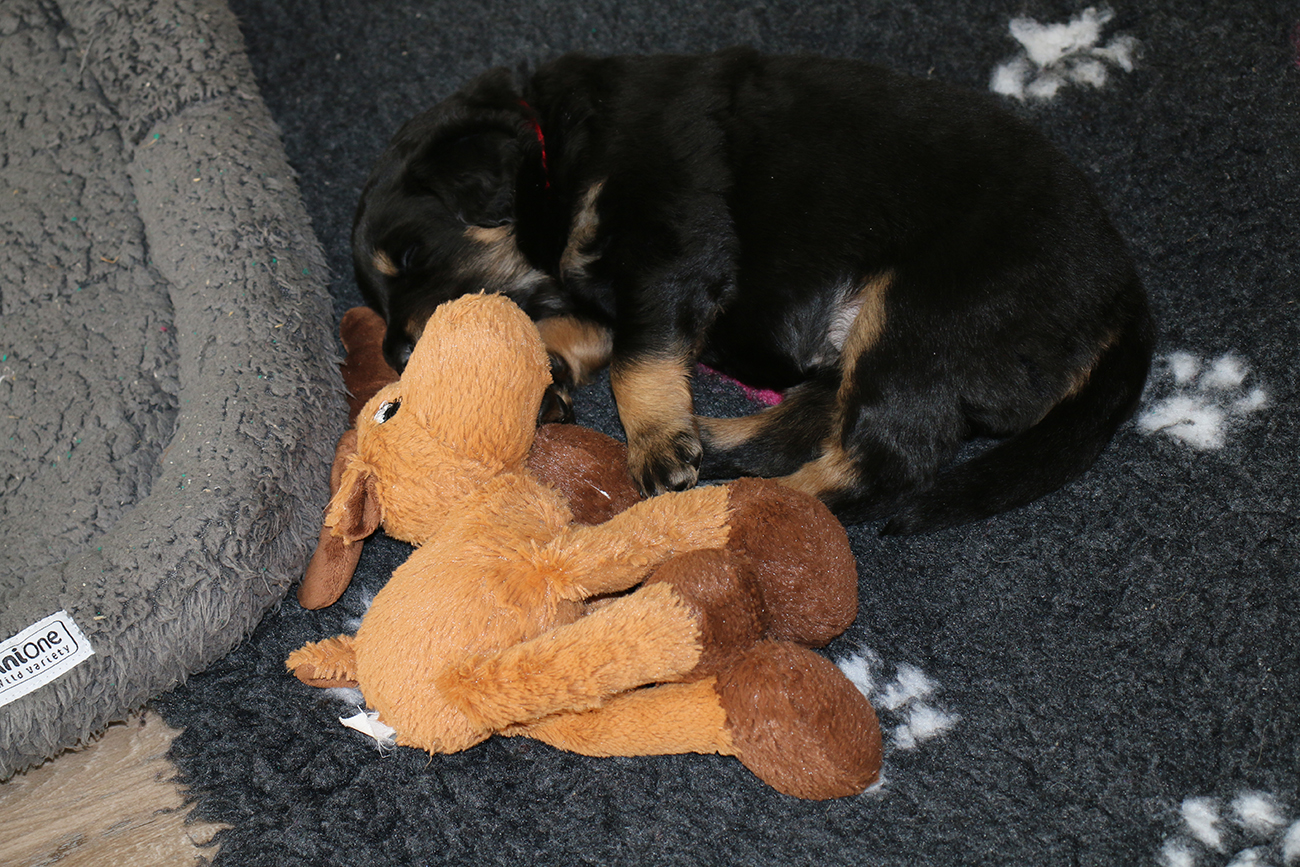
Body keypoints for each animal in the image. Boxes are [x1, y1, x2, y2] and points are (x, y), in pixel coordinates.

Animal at [351, 48, 1154, 534]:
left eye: (412, 253)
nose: (397, 352)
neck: (553, 151)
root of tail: (1123, 297)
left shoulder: (671, 248)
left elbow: (638, 361)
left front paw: (654, 440)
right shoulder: (606, 291)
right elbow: (577, 332)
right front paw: (544, 375)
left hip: (922, 318)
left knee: (885, 462)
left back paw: (751, 512)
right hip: (876, 345)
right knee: (808, 425)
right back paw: (716, 442)